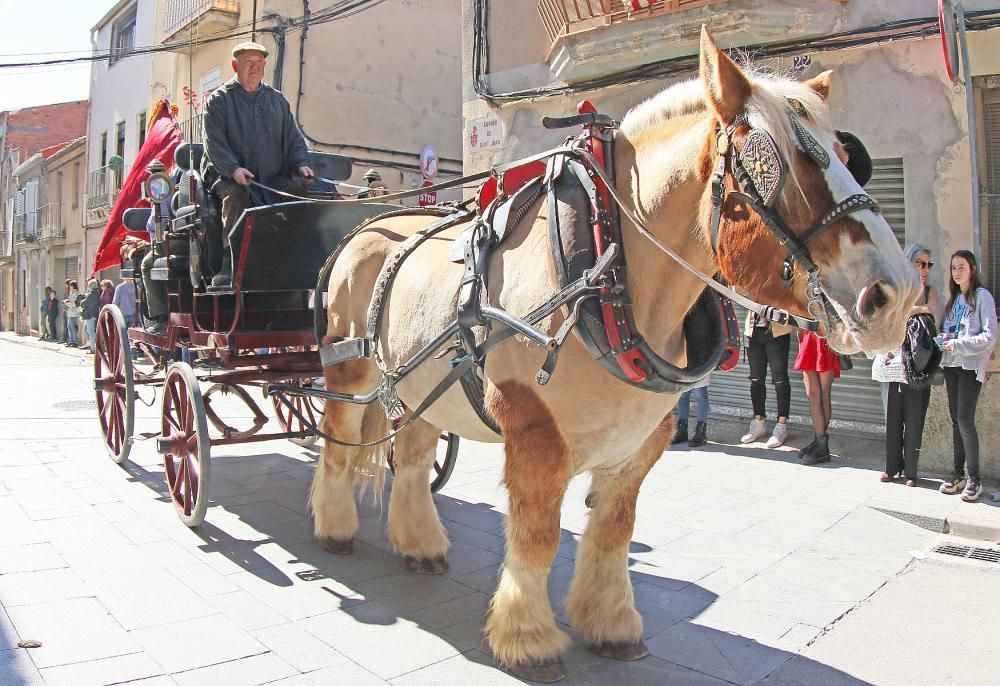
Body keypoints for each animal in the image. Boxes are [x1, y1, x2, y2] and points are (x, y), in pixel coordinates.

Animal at [310, 25, 920, 684]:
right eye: (780, 161)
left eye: (847, 158)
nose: (897, 295)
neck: (606, 273)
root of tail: (366, 229)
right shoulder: (535, 432)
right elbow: (538, 536)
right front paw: (529, 639)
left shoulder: (642, 440)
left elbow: (612, 532)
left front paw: (611, 625)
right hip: (348, 370)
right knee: (338, 443)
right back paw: (334, 527)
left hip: (420, 386)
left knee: (417, 456)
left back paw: (419, 543)